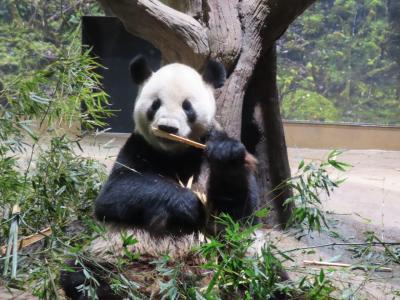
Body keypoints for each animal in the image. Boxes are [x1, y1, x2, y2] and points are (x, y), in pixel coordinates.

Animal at [59, 55, 260, 298]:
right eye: (155, 104)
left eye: (187, 106)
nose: (168, 127)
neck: (176, 154)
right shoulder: (138, 147)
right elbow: (114, 194)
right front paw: (186, 203)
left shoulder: (210, 142)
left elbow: (239, 214)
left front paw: (226, 155)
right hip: (110, 254)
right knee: (80, 273)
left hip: (234, 258)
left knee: (254, 272)